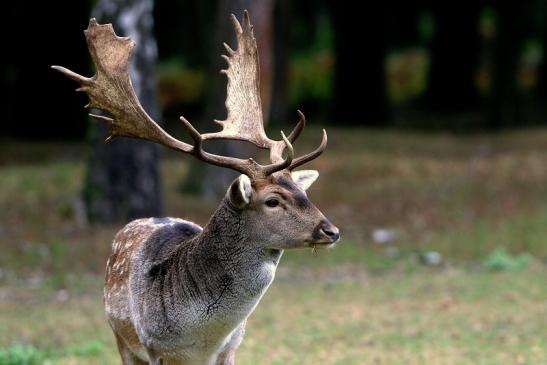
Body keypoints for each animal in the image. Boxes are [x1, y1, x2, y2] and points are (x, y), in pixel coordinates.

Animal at [53, 11, 340, 364]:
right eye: (273, 201)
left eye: (304, 193)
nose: (331, 231)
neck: (203, 339)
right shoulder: (155, 348)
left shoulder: (232, 347)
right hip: (120, 337)